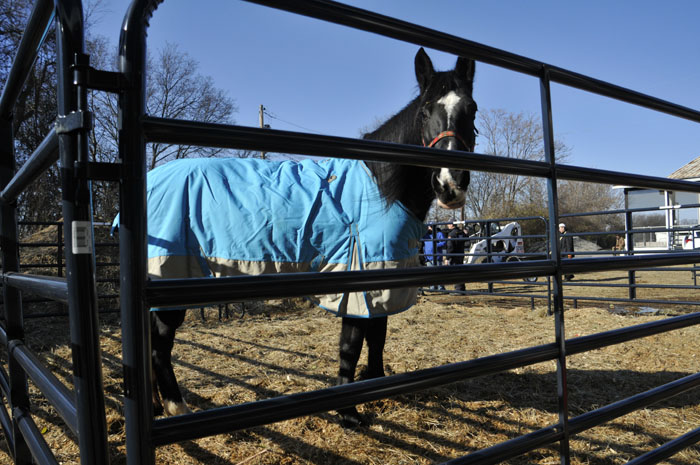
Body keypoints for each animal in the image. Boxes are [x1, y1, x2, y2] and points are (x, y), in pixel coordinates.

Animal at [146, 48, 477, 427]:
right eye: (425, 111)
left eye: (471, 109)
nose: (451, 184)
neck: (380, 186)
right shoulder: (358, 280)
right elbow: (351, 344)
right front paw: (349, 412)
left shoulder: (383, 277)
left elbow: (377, 337)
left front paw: (376, 385)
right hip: (173, 279)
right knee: (159, 344)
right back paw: (175, 407)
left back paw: (155, 407)